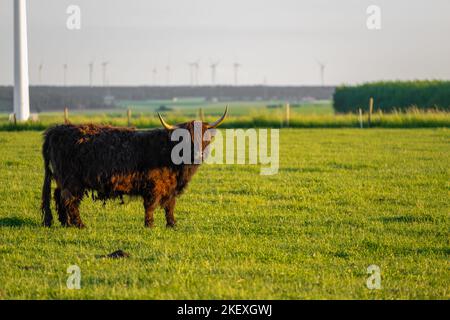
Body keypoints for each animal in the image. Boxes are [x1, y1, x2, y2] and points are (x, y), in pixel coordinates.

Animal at [40, 107, 227, 228]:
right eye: (184, 139)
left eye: (204, 138)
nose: (197, 154)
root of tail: (56, 129)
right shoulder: (153, 185)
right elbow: (150, 205)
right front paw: (149, 225)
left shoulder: (170, 187)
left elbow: (170, 205)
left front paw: (172, 224)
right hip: (72, 180)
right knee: (69, 200)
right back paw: (79, 224)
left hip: (63, 179)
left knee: (58, 195)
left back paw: (65, 223)